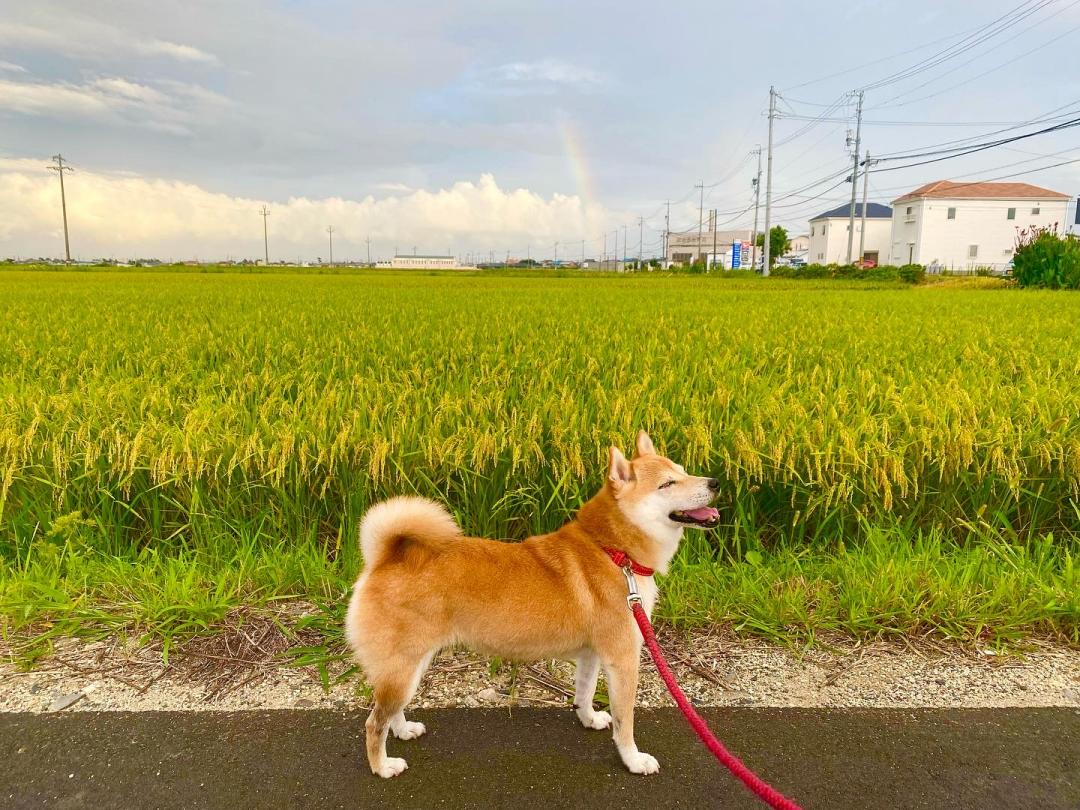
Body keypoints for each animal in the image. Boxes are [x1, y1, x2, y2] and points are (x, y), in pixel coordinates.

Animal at [345, 432, 717, 781]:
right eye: (667, 484)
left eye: (683, 471)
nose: (714, 483)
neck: (612, 551)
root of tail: (384, 558)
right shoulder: (623, 659)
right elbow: (626, 722)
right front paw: (633, 760)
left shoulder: (592, 655)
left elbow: (584, 692)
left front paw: (589, 718)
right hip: (403, 668)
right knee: (373, 724)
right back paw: (382, 766)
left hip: (411, 665)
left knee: (389, 712)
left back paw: (403, 730)